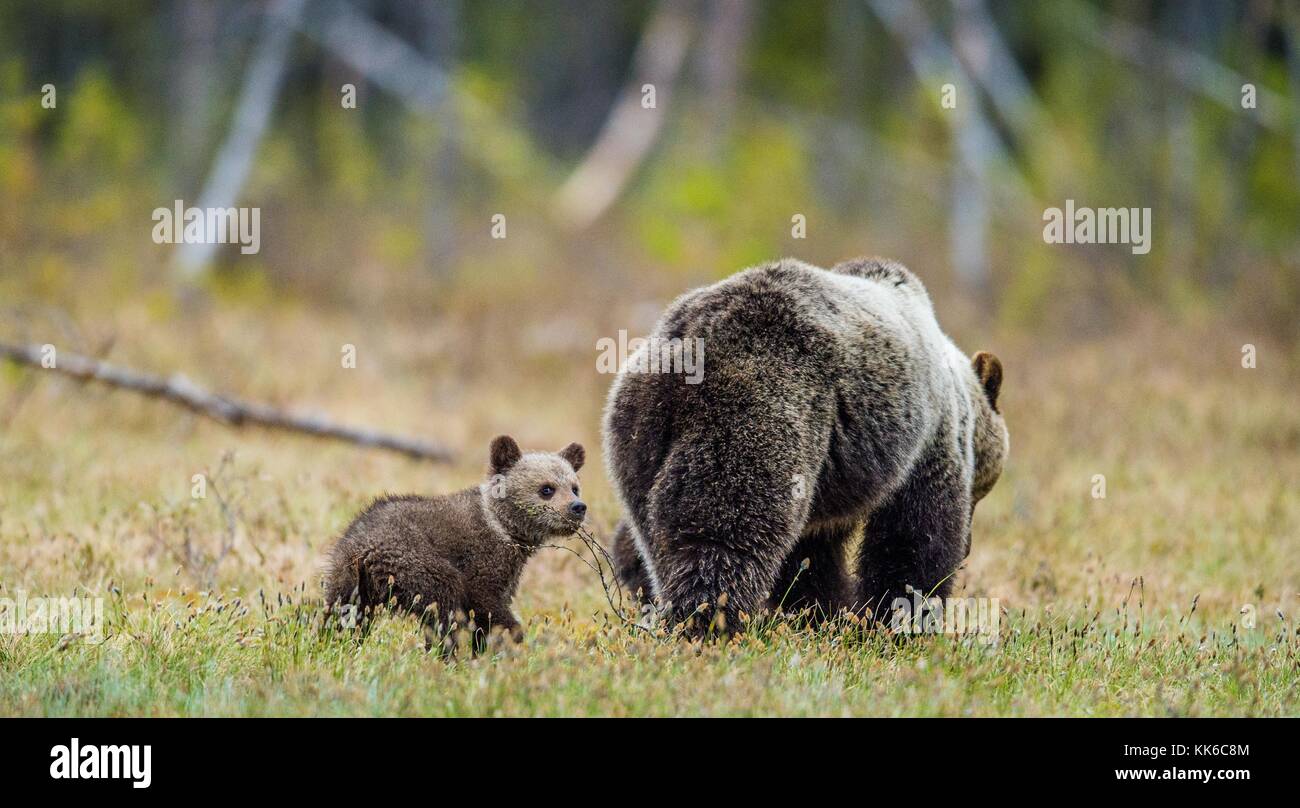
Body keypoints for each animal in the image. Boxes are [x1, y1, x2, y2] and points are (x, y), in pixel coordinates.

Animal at [323, 435, 587, 649]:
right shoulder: (481, 564)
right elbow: (487, 607)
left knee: (342, 616)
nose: (578, 507)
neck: (506, 529)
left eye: (574, 487)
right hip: (414, 562)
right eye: (546, 489)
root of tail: (361, 550)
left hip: (348, 580)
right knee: (444, 608)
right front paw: (510, 637)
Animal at [603, 257, 1007, 635]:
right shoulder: (927, 441)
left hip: (637, 431)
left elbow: (811, 558)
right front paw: (896, 620)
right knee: (723, 526)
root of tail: (684, 346)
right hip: (760, 405)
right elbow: (915, 538)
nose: (970, 546)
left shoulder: (830, 479)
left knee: (650, 529)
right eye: (983, 486)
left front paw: (825, 613)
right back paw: (710, 620)